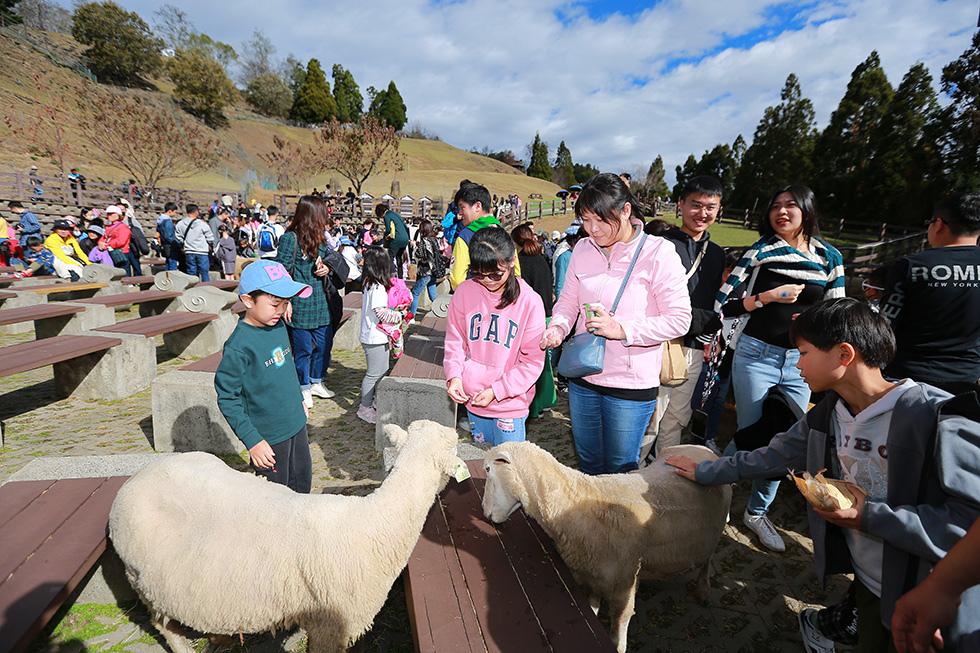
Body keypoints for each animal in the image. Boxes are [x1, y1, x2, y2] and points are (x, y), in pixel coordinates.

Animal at [109, 418, 462, 652]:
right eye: (454, 444)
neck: (375, 523)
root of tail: (136, 477)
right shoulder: (329, 625)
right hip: (146, 584)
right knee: (165, 627)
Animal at [478, 440, 732, 648]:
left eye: (488, 469)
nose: (484, 512)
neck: (573, 500)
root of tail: (703, 448)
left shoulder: (623, 587)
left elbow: (617, 637)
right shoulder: (589, 578)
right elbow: (591, 611)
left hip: (714, 531)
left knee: (707, 560)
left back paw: (704, 591)